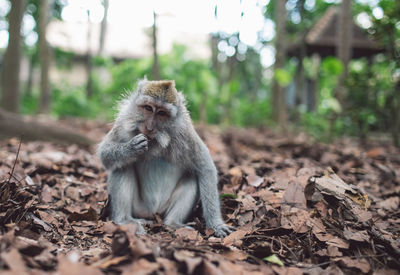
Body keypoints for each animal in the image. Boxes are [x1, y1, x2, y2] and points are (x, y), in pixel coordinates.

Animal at [97, 79, 234, 237]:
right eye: (148, 108)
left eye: (161, 113)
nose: (149, 128)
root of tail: (152, 213)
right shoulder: (122, 122)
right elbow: (105, 154)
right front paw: (130, 149)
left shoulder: (185, 133)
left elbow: (205, 168)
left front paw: (216, 224)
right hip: (139, 208)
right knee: (122, 166)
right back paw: (124, 220)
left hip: (162, 209)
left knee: (193, 176)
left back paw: (173, 223)